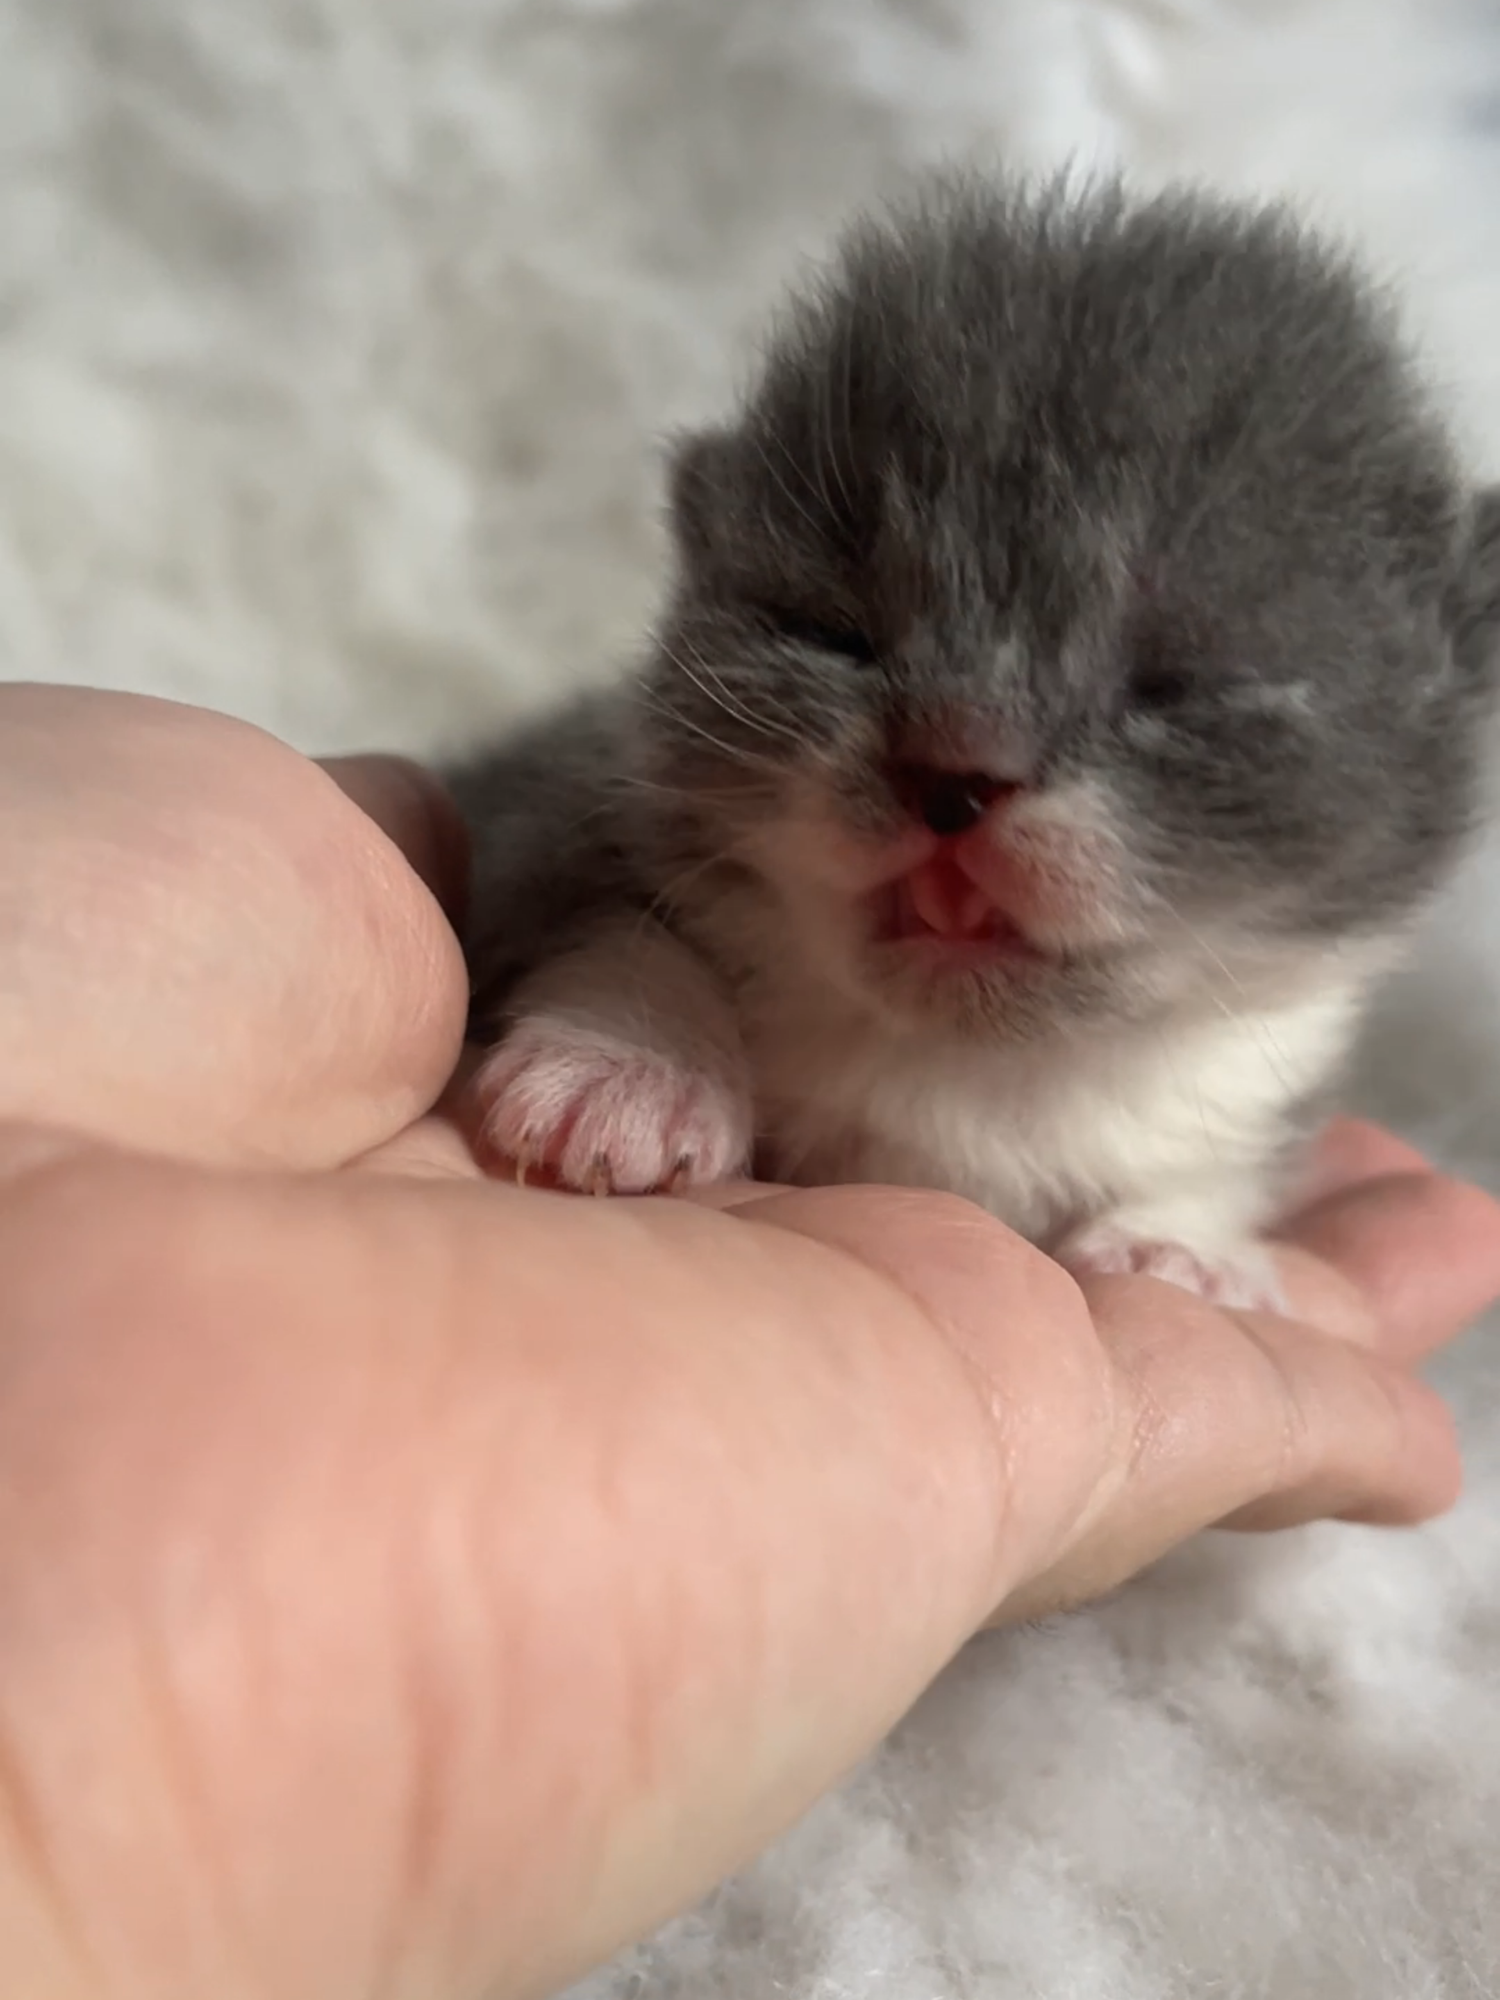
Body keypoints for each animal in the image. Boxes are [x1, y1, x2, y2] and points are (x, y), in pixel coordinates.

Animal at [444, 176, 1500, 1312]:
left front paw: (1182, 1239)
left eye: (1178, 685)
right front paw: (634, 1067)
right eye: (833, 629)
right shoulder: (552, 804)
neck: (973, 1069)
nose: (952, 773)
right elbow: (619, 921)